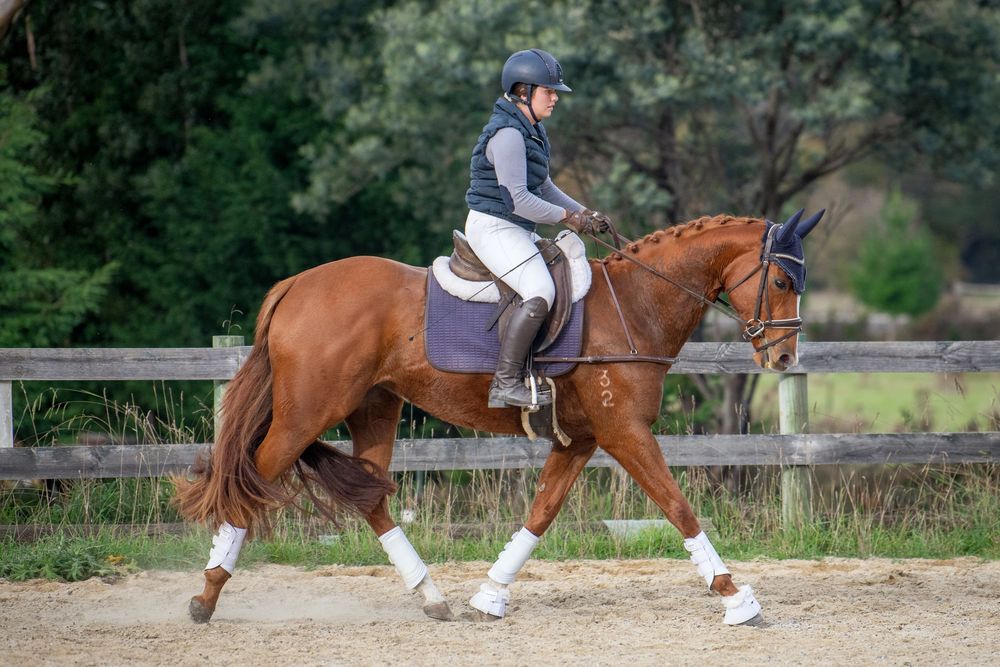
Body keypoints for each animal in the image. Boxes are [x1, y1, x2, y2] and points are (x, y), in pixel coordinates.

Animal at [174, 209, 823, 626]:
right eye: (781, 278)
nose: (785, 358)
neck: (635, 304)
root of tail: (295, 285)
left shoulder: (579, 439)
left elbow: (541, 513)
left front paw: (489, 597)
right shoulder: (624, 432)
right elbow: (677, 505)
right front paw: (736, 598)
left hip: (374, 408)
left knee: (371, 498)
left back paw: (432, 596)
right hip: (307, 413)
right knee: (250, 479)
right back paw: (205, 598)